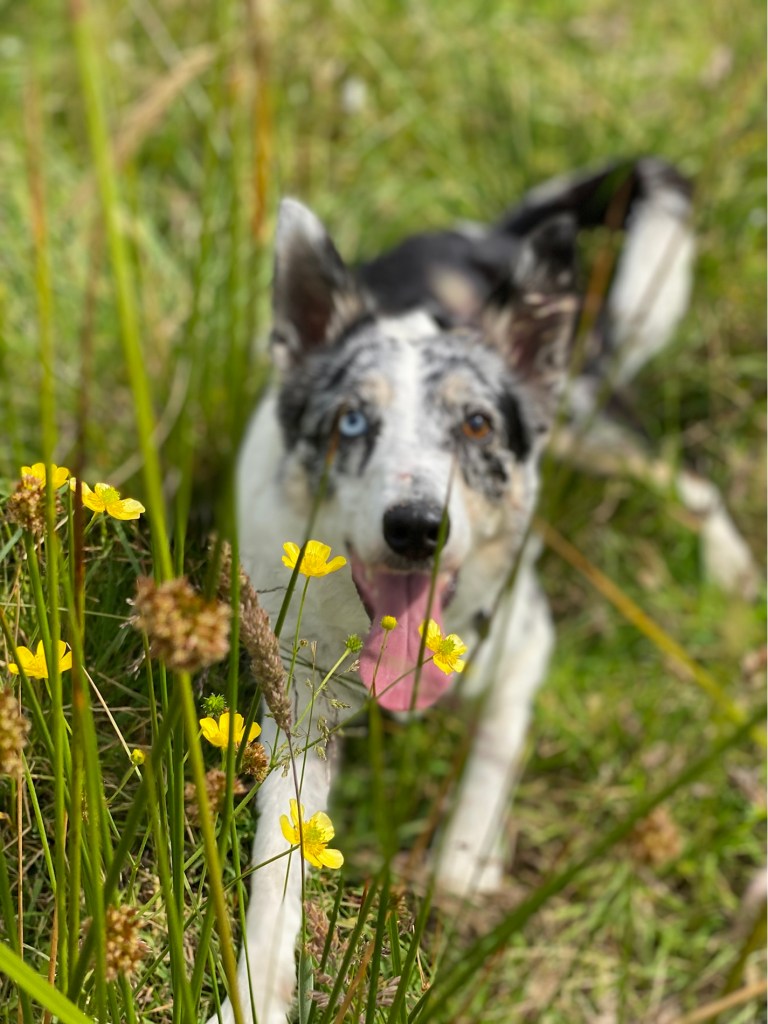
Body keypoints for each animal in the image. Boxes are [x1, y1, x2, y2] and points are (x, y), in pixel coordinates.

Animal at [206, 158, 756, 1024]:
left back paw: (732, 572)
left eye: (475, 425)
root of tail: (491, 235)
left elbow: (495, 747)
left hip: (593, 427)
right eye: (351, 422)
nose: (415, 527)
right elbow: (282, 852)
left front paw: (467, 857)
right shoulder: (299, 706)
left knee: (690, 482)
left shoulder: (523, 646)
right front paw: (257, 987)